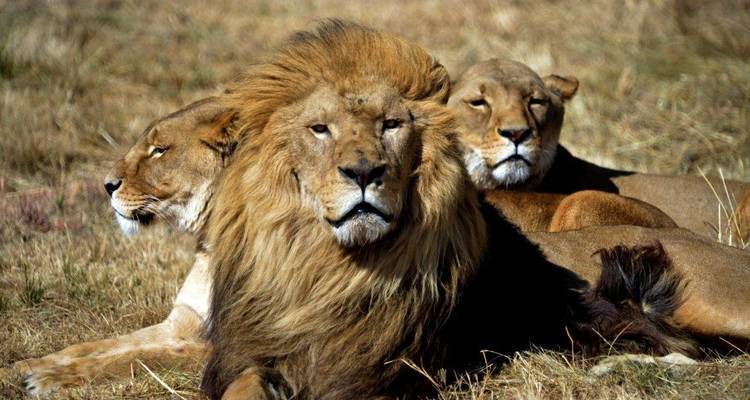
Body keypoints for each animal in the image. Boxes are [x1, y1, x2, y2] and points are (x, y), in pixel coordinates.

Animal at [14, 97, 237, 396]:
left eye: (159, 150)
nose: (107, 185)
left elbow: (139, 357)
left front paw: (48, 377)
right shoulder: (183, 321)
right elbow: (99, 345)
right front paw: (24, 365)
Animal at [201, 21, 693, 400]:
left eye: (391, 125)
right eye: (320, 129)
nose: (363, 172)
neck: (331, 274)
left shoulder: (395, 373)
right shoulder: (251, 352)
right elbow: (240, 386)